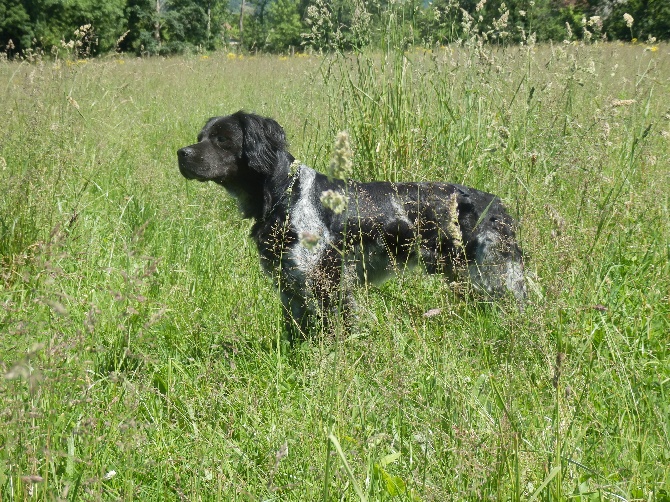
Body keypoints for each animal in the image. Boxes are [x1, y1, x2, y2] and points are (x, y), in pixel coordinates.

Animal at [177, 110, 524, 338]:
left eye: (222, 139)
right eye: (200, 137)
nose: (181, 153)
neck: (285, 194)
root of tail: (495, 205)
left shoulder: (327, 281)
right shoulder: (289, 286)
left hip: (496, 278)